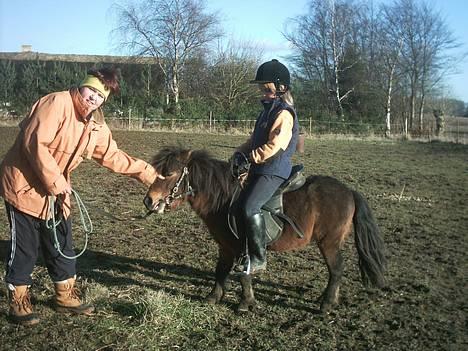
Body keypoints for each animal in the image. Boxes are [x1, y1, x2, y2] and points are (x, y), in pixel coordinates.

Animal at [144, 146, 386, 314]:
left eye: (171, 173)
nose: (149, 200)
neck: (224, 198)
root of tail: (349, 191)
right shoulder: (226, 246)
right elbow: (221, 270)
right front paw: (214, 297)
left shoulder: (243, 246)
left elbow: (244, 274)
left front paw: (245, 303)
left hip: (329, 242)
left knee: (336, 269)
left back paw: (326, 305)